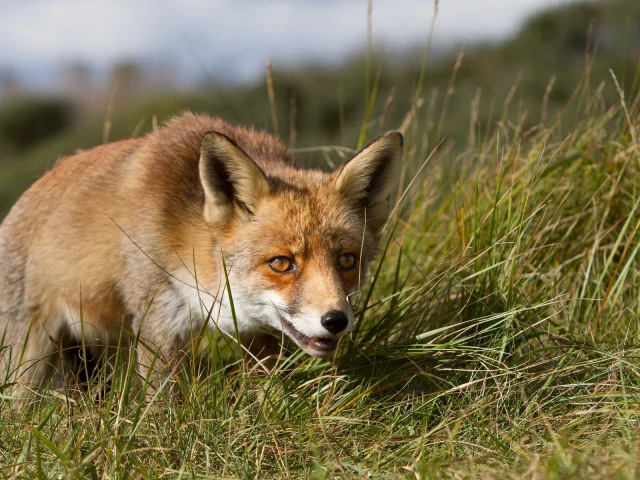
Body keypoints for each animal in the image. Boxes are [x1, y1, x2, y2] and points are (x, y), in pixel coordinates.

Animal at [0, 112, 400, 398]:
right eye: (282, 263)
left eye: (347, 260)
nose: (336, 320)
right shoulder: (156, 323)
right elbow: (163, 404)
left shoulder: (257, 336)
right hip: (28, 363)